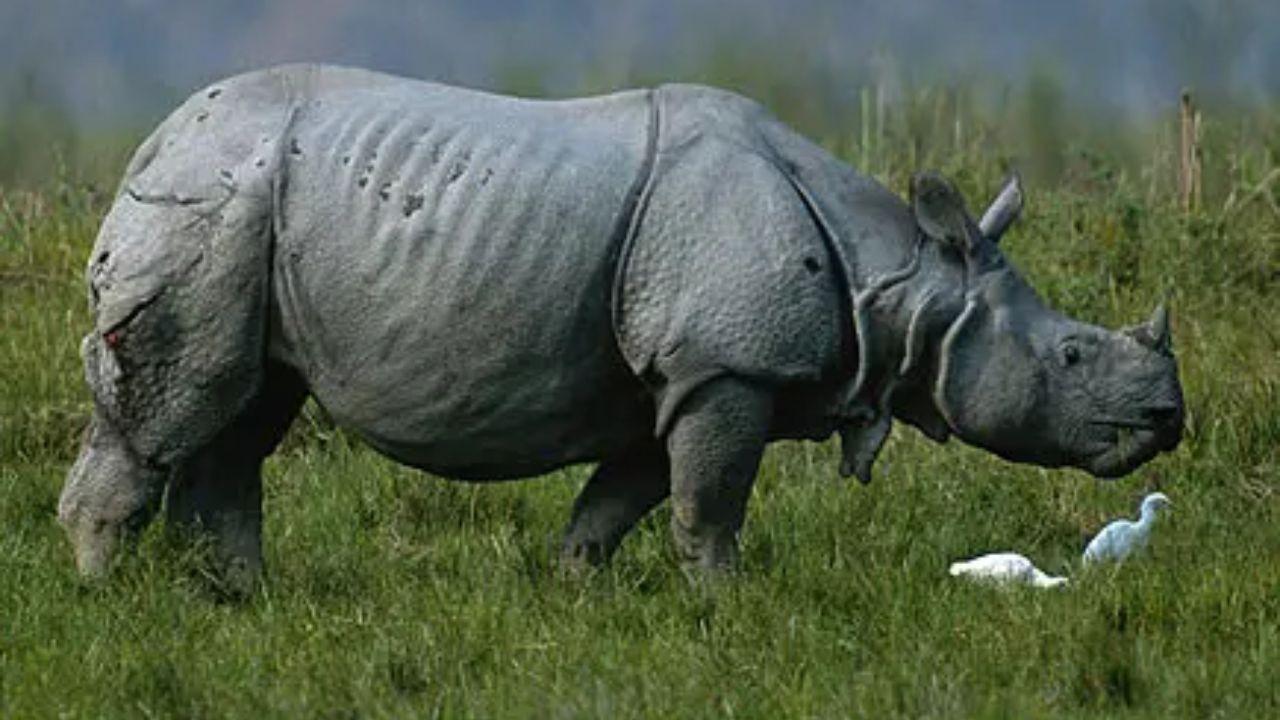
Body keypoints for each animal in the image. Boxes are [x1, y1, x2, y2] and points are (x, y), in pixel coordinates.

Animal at [58, 64, 1184, 586]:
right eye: (1070, 354)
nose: (1169, 417)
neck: (900, 281)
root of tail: (154, 139)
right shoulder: (726, 365)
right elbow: (708, 505)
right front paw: (727, 608)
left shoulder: (682, 374)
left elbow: (621, 502)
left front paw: (575, 598)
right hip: (212, 205)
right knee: (173, 409)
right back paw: (106, 595)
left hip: (253, 219)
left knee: (244, 411)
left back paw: (241, 604)